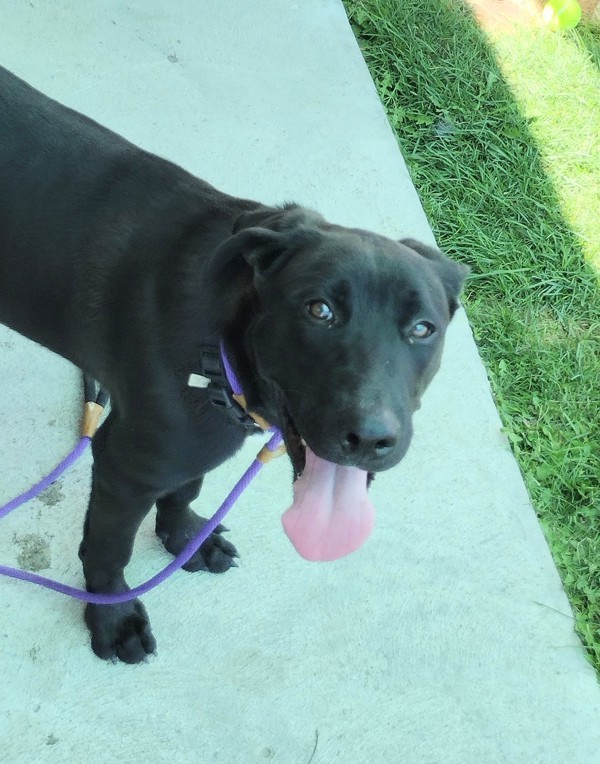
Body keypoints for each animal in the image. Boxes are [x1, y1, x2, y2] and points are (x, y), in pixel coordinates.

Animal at [0, 67, 468, 664]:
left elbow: (186, 490)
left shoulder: (199, 442)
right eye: (320, 310)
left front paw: (186, 541)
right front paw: (112, 619)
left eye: (422, 329)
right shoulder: (126, 465)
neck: (217, 346)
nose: (370, 440)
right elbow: (108, 549)